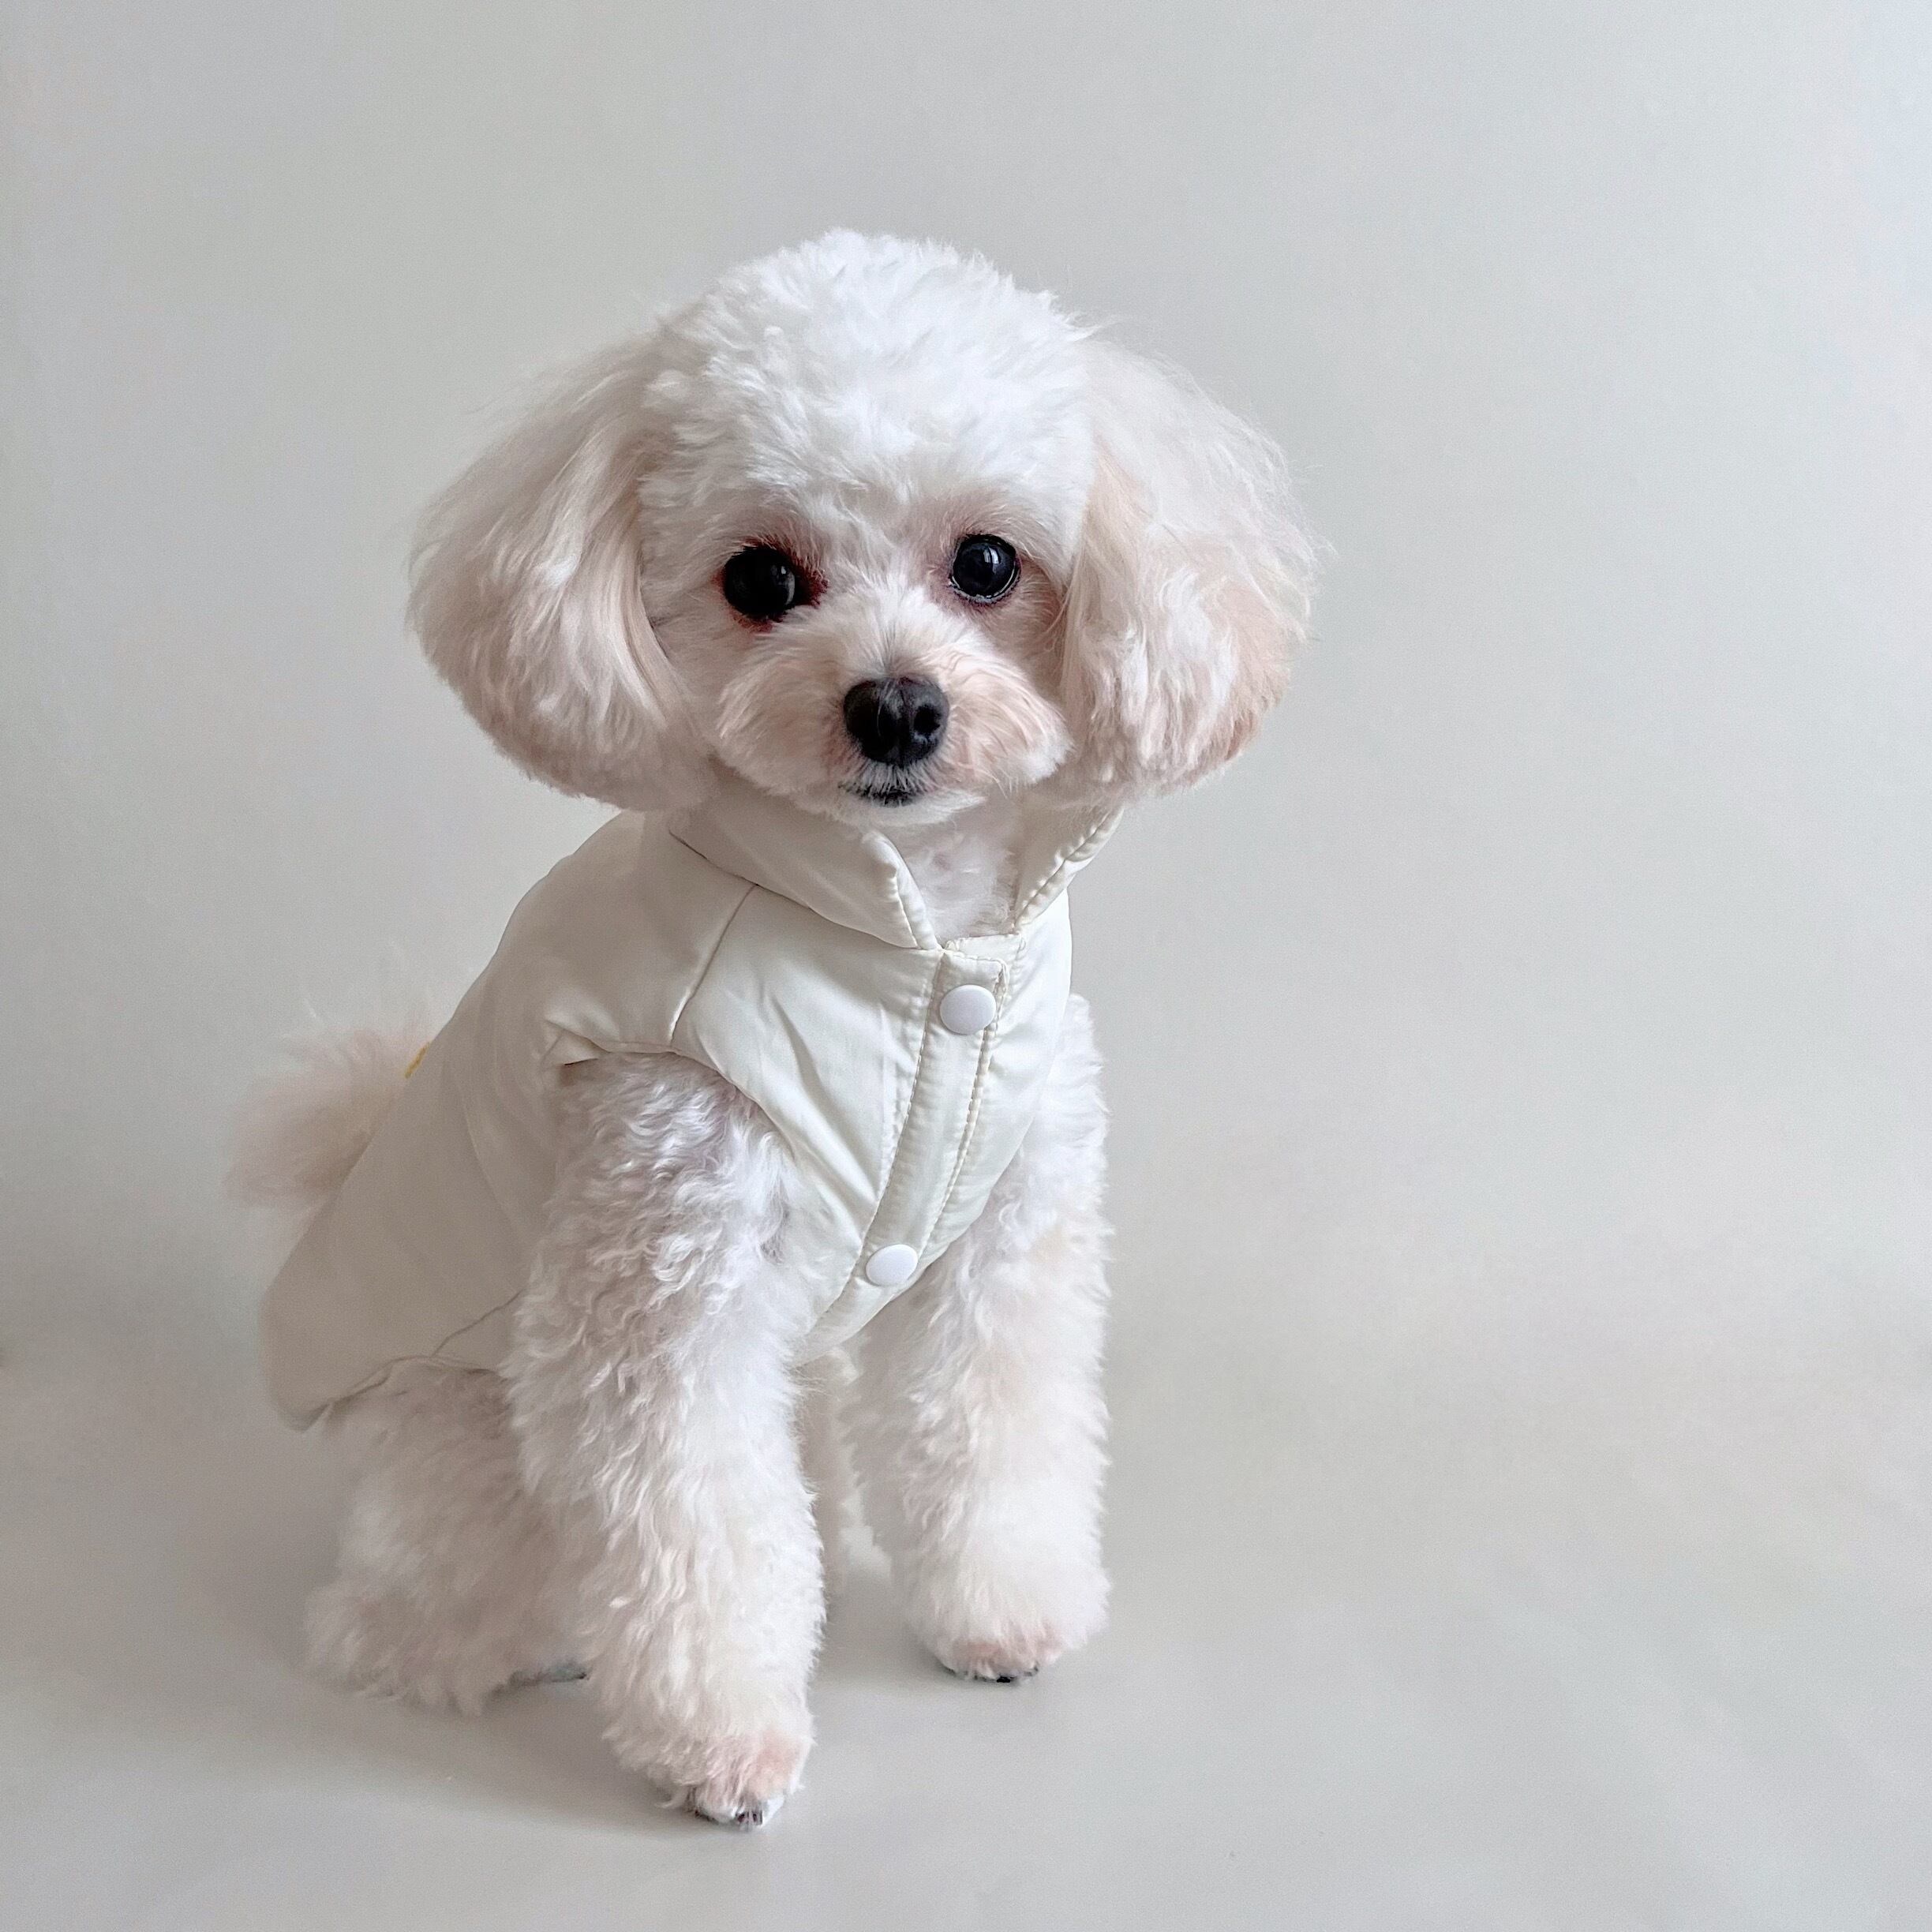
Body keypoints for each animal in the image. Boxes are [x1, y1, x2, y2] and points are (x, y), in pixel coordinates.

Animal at [235, 231, 1313, 1827]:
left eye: (987, 563)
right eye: (760, 579)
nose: (895, 707)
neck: (913, 957)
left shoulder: (999, 1247)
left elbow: (985, 1427)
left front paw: (1000, 1614)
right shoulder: (665, 1270)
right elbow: (696, 1524)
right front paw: (721, 1743)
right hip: (474, 1429)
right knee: (433, 1597)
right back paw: (469, 1635)